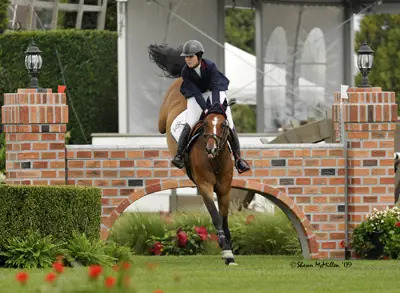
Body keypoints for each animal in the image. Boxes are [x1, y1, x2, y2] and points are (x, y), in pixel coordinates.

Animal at [150, 44, 238, 264]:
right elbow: (215, 216)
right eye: (205, 124)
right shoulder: (205, 185)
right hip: (164, 117)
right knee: (161, 125)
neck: (215, 160)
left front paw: (229, 249)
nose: (211, 149)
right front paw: (224, 247)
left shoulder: (224, 188)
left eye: (224, 125)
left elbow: (224, 217)